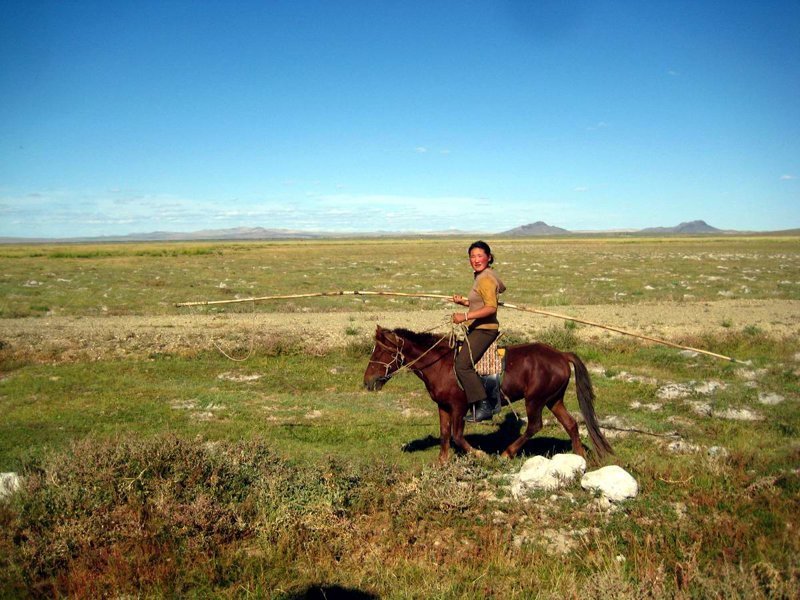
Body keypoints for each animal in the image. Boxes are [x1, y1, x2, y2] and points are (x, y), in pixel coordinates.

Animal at [362, 328, 612, 464]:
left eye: (382, 351)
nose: (368, 381)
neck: (440, 364)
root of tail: (560, 354)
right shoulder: (443, 407)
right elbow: (444, 434)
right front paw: (442, 461)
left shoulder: (459, 407)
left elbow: (457, 436)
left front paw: (480, 455)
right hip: (553, 400)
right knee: (570, 424)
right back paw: (580, 456)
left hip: (536, 400)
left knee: (535, 425)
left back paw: (507, 453)